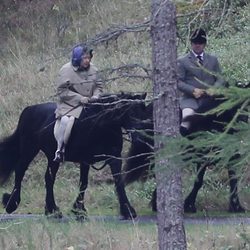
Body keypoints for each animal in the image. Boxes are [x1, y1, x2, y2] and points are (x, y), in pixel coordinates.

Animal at [0, 92, 147, 219]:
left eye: (143, 112)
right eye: (130, 112)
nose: (140, 137)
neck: (100, 125)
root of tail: (29, 109)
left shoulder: (114, 159)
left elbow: (118, 181)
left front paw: (127, 211)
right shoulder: (85, 160)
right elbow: (84, 183)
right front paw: (79, 210)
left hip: (52, 157)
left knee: (49, 178)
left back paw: (52, 210)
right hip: (29, 149)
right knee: (20, 171)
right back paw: (12, 204)